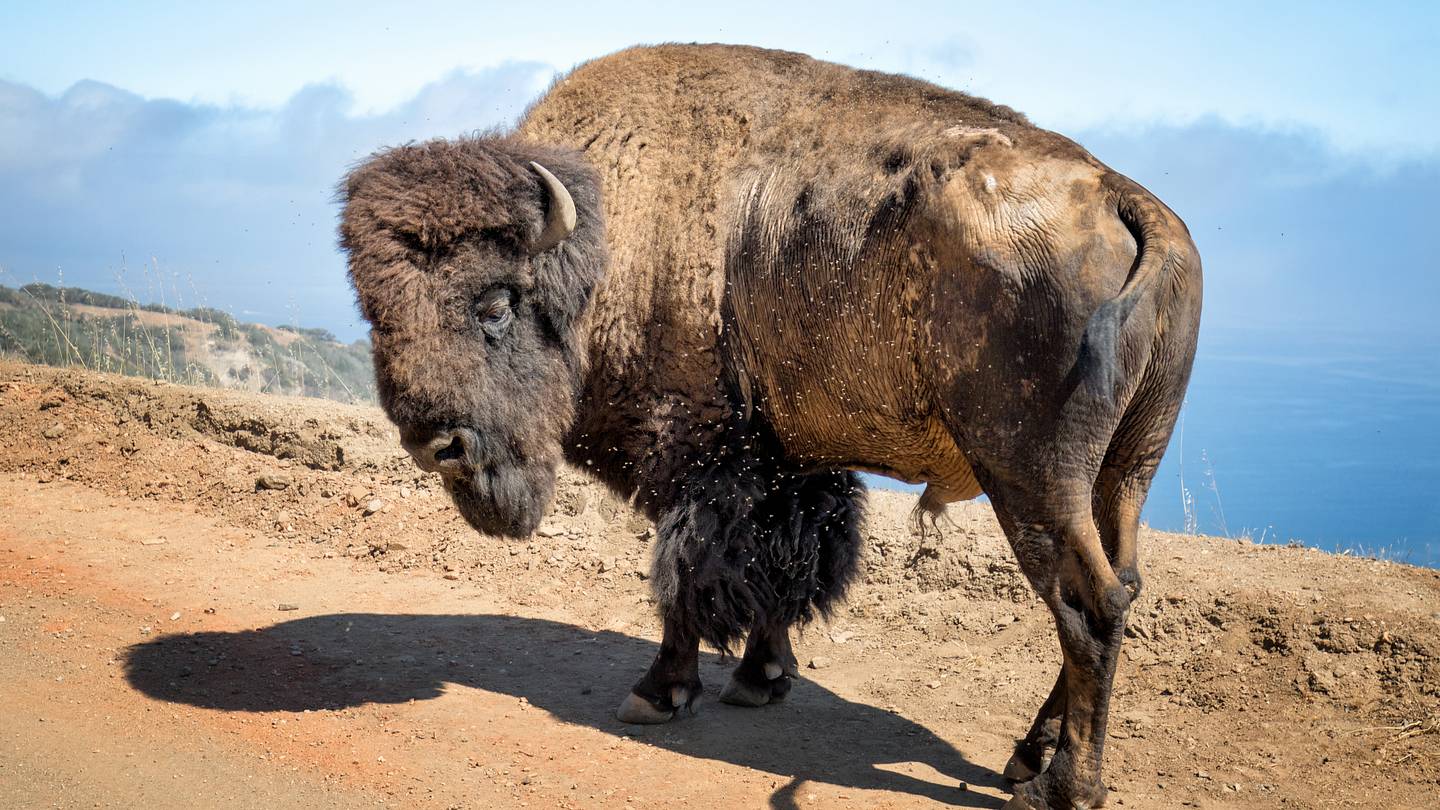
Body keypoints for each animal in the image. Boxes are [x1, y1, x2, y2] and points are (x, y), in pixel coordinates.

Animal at [339, 44, 1201, 810]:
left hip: (1032, 476)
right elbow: (787, 567)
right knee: (1123, 584)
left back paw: (1062, 787)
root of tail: (1124, 199)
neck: (612, 235)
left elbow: (690, 573)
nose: (436, 444)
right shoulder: (793, 464)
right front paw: (763, 677)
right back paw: (1028, 756)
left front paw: (659, 693)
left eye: (493, 303)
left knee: (1090, 602)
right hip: (1124, 471)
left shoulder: (698, 459)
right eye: (376, 311)